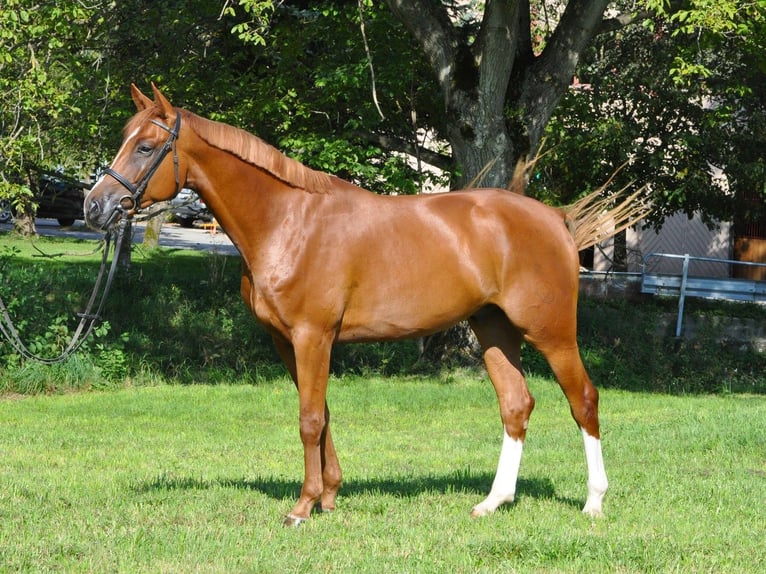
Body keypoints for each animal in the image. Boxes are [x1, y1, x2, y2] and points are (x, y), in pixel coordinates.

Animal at [85, 83, 612, 528]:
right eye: (126, 139)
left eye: (146, 147)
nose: (95, 207)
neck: (287, 222)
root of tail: (555, 219)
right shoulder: (288, 341)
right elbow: (321, 413)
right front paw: (330, 495)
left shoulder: (312, 336)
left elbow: (309, 420)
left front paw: (302, 507)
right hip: (494, 330)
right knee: (515, 405)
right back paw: (493, 501)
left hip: (551, 333)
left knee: (583, 400)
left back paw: (593, 501)